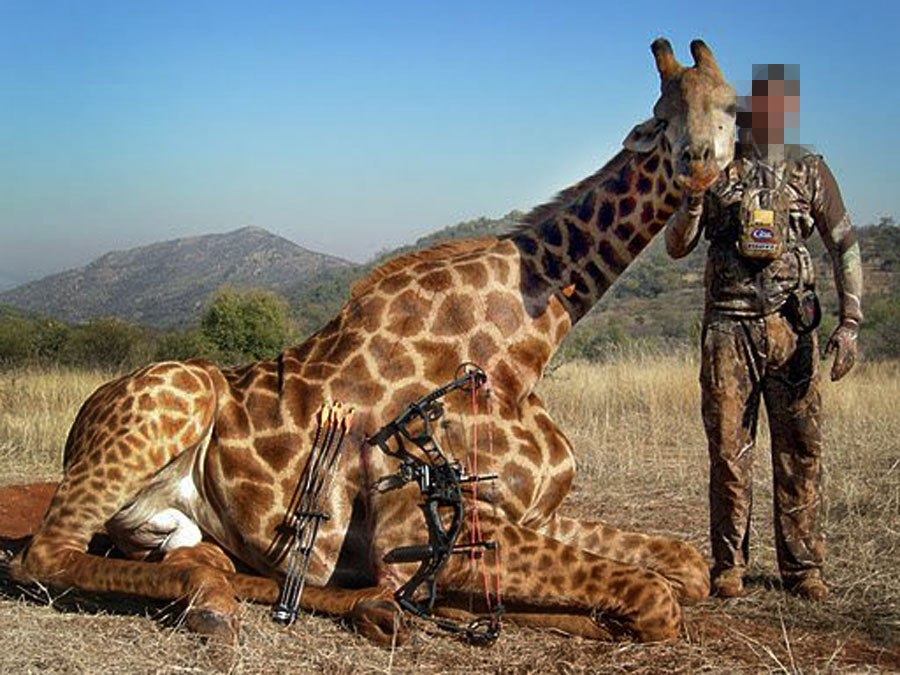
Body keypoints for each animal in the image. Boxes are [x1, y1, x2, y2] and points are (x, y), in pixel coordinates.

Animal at [10, 39, 736, 648]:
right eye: (662, 113)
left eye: (731, 108)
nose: (698, 166)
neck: (522, 348)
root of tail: (79, 422)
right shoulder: (414, 528)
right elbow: (655, 597)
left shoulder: (528, 510)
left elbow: (686, 568)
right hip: (173, 401)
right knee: (41, 554)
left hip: (167, 526)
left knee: (204, 557)